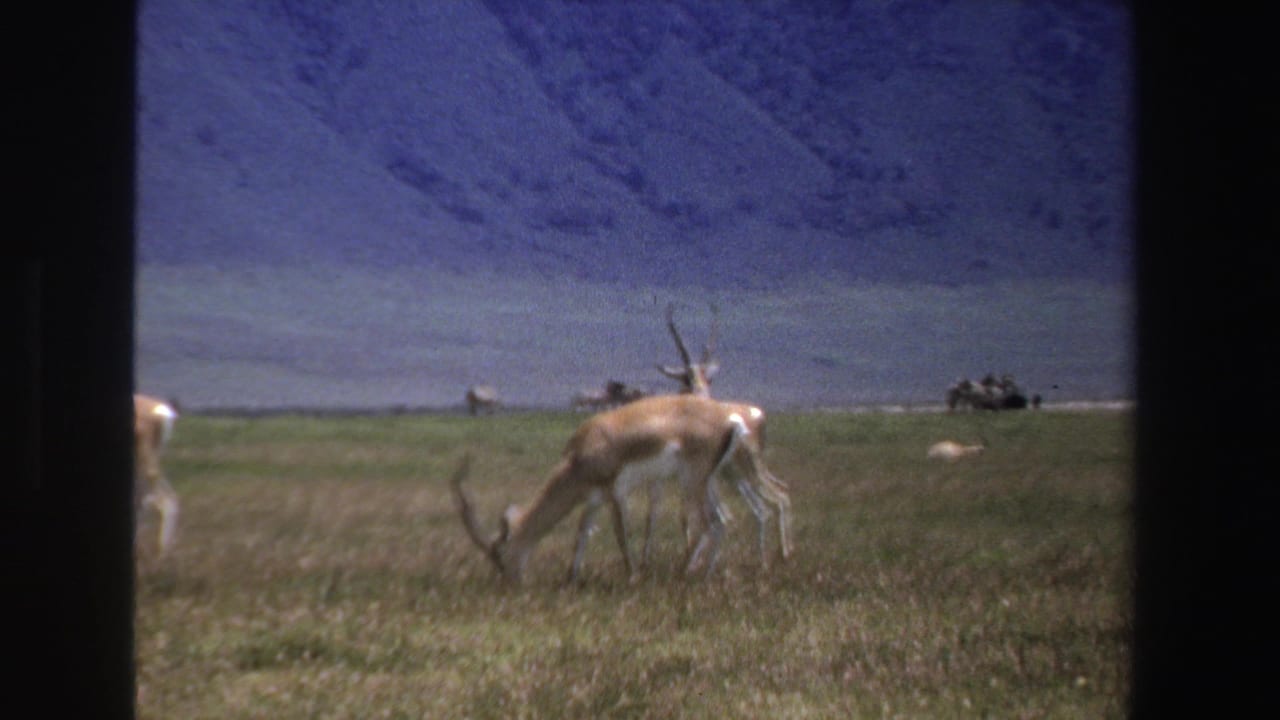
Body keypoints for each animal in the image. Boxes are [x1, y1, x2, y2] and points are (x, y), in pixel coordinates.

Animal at [451, 394, 790, 584]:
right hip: (708, 481)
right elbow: (582, 534)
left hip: (693, 481)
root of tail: (732, 420)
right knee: (724, 519)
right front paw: (571, 577)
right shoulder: (593, 498)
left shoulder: (616, 492)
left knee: (714, 523)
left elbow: (621, 534)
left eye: (500, 554)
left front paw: (632, 576)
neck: (581, 454)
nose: (509, 583)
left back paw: (691, 576)